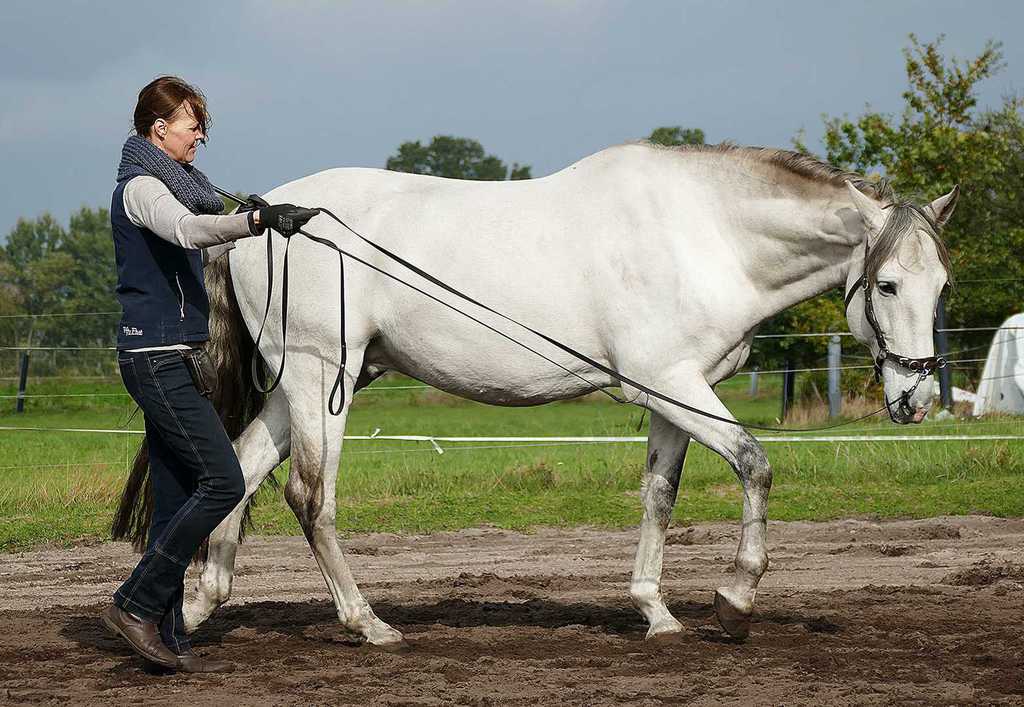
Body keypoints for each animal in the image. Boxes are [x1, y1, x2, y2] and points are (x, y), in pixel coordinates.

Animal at [113, 142, 958, 645]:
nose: (916, 399)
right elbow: (756, 463)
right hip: (325, 376)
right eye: (887, 283)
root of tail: (259, 218)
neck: (702, 233)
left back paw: (198, 603)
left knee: (244, 465)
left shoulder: (673, 396)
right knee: (309, 496)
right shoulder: (678, 387)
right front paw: (736, 597)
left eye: (943, 284)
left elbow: (660, 496)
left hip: (303, 383)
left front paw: (656, 610)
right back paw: (367, 622)